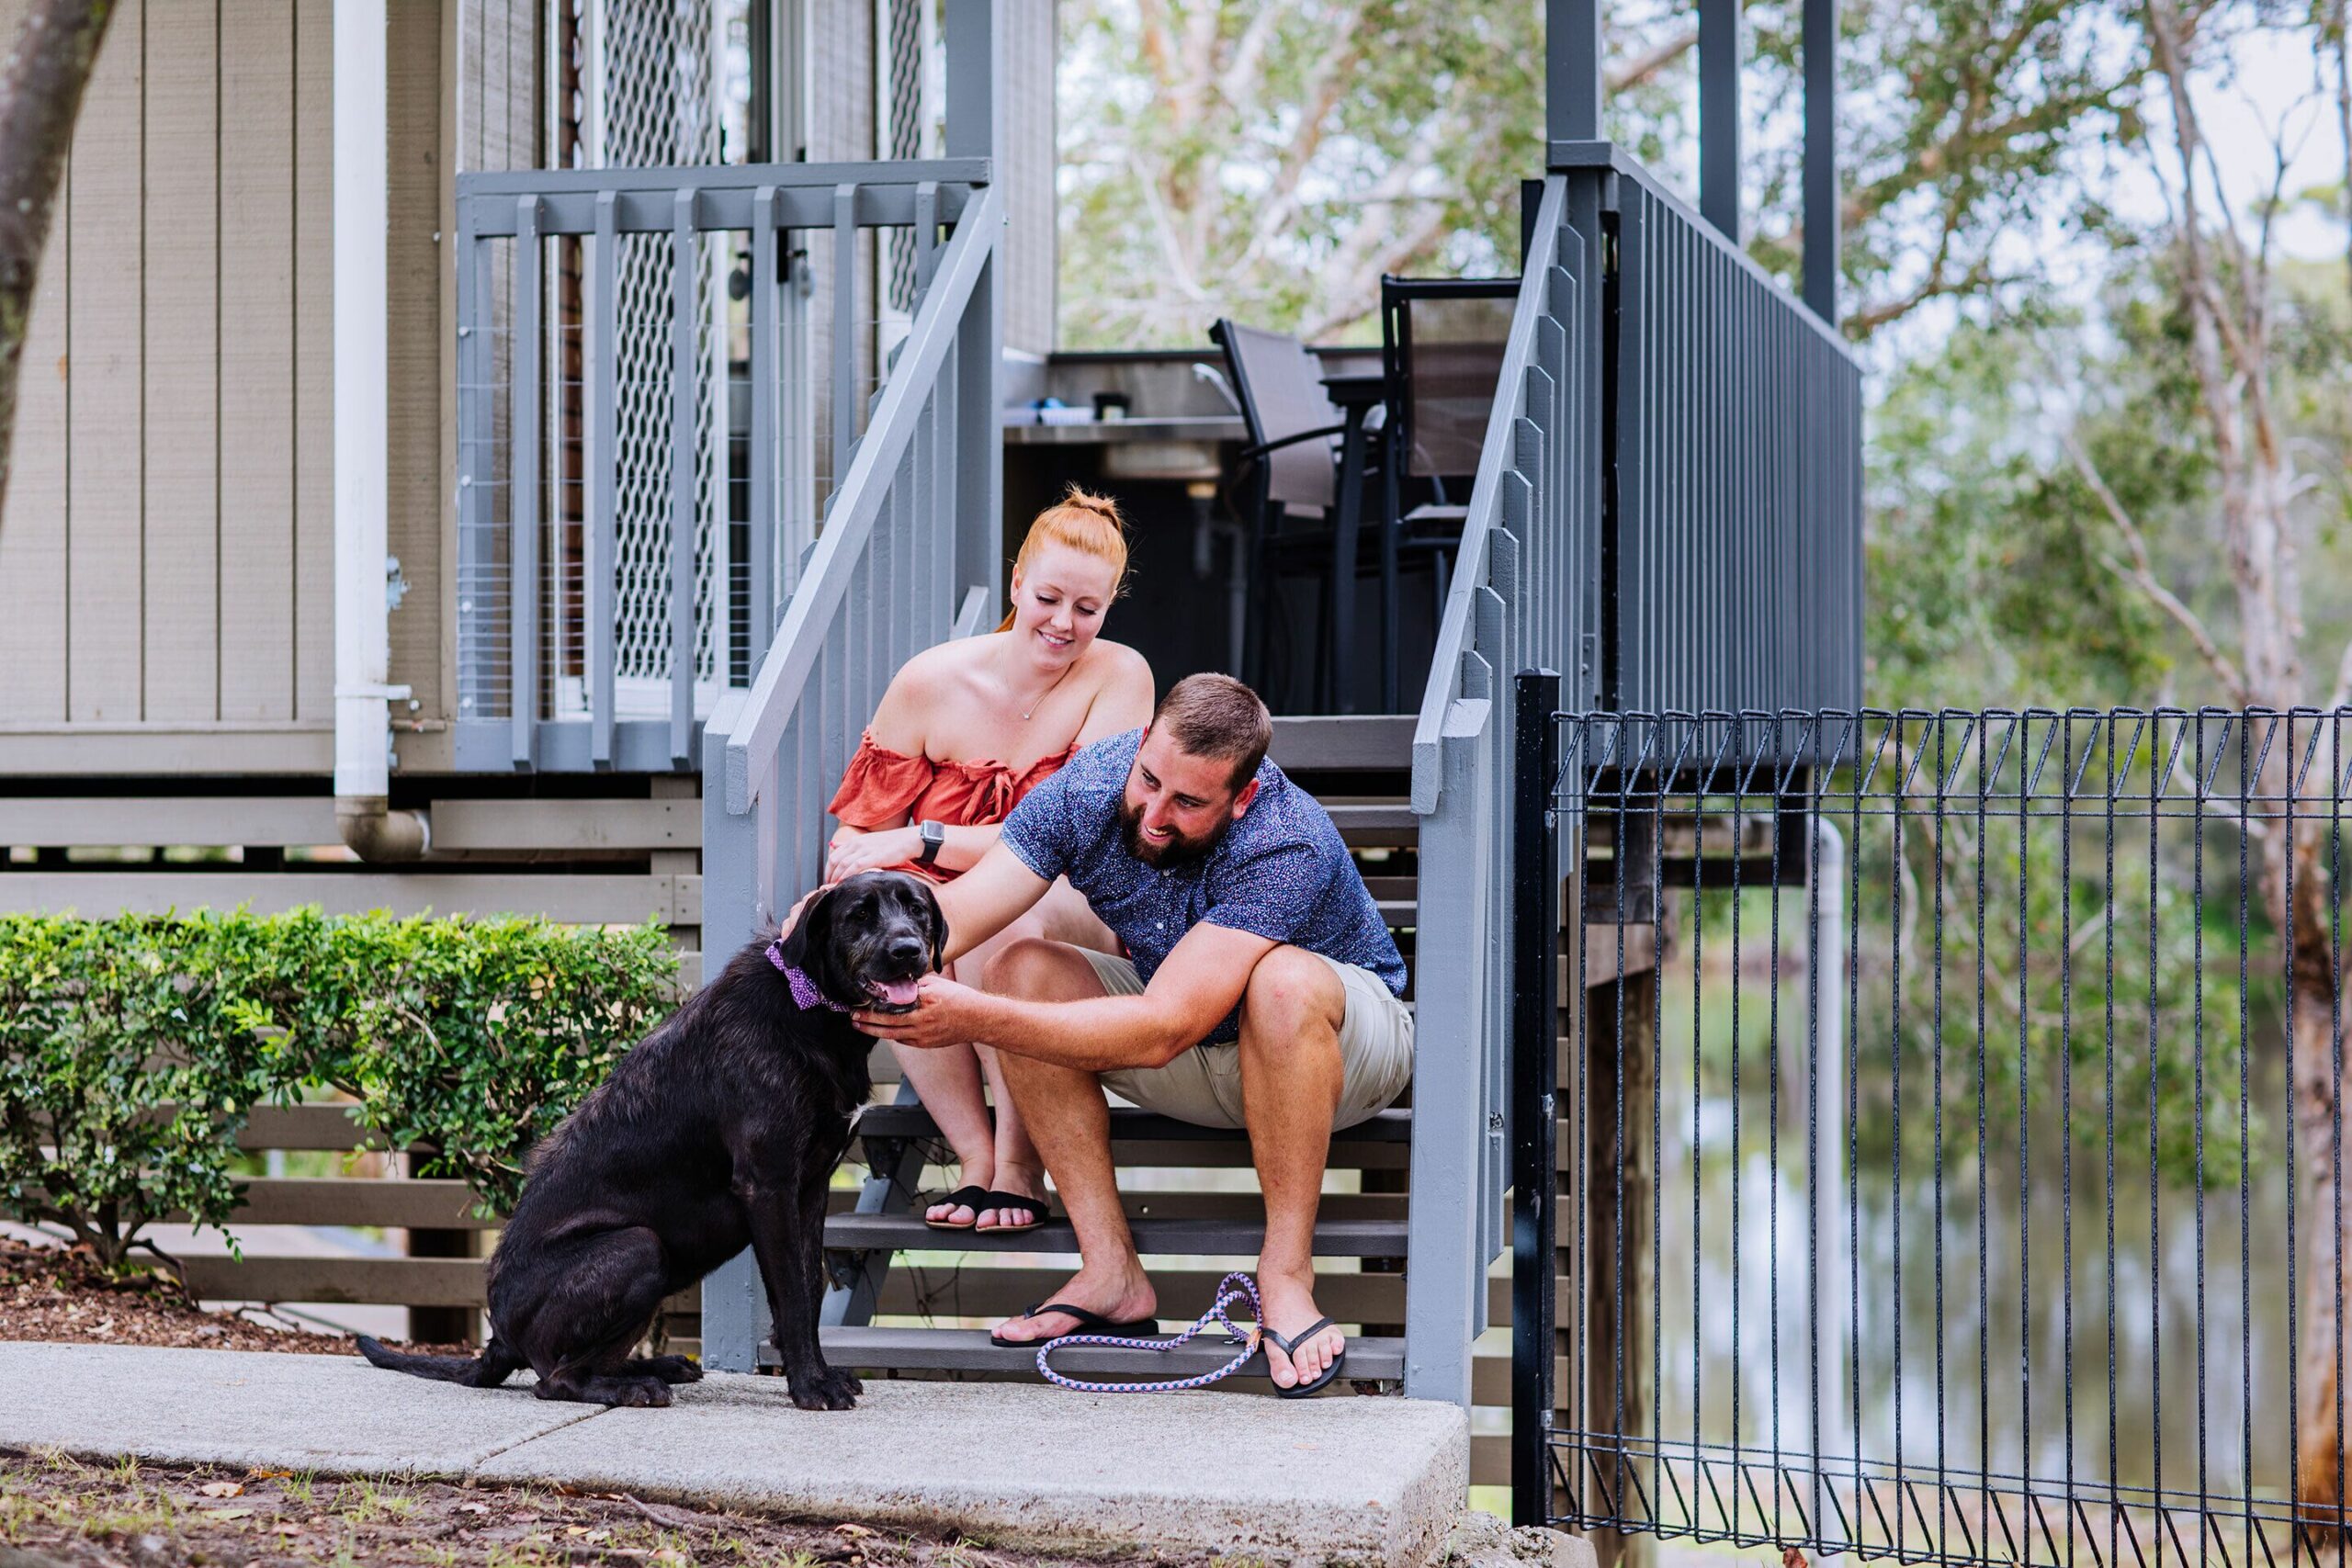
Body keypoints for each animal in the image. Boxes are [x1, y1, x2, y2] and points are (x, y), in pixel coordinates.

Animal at [353, 869, 941, 1410]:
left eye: (917, 909)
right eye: (859, 915)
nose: (908, 951)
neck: (809, 1007)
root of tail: (498, 1339)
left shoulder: (811, 1187)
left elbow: (810, 1289)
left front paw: (818, 1373)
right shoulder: (768, 1186)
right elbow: (793, 1297)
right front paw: (810, 1387)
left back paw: (654, 1366)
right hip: (637, 1248)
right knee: (554, 1380)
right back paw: (633, 1386)